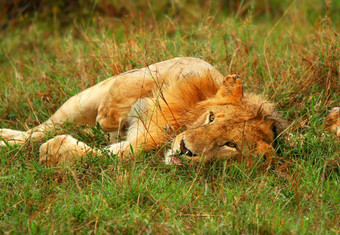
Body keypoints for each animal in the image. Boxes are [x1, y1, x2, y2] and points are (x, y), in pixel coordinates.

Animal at [0, 57, 286, 166]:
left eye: (230, 145)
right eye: (211, 117)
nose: (185, 149)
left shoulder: (138, 146)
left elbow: (102, 154)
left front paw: (55, 151)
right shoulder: (177, 67)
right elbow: (126, 93)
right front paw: (107, 121)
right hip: (80, 101)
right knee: (42, 128)